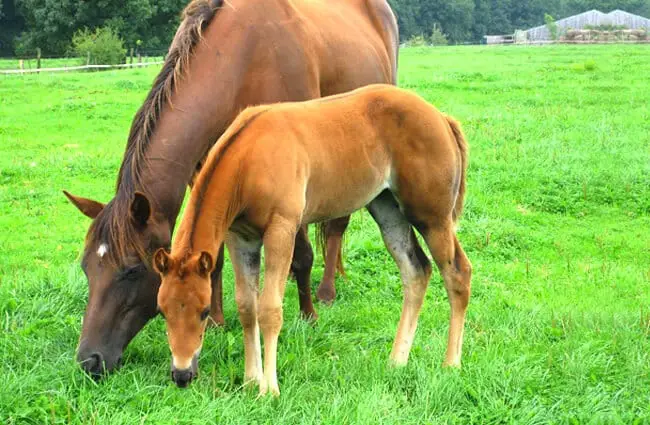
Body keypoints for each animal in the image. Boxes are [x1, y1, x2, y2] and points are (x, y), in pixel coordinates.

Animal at [63, 0, 398, 378]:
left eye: (132, 269)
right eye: (86, 267)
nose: (89, 360)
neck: (243, 58)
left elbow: (302, 255)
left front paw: (308, 316)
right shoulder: (207, 173)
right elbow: (215, 254)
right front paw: (215, 321)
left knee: (336, 226)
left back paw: (326, 292)